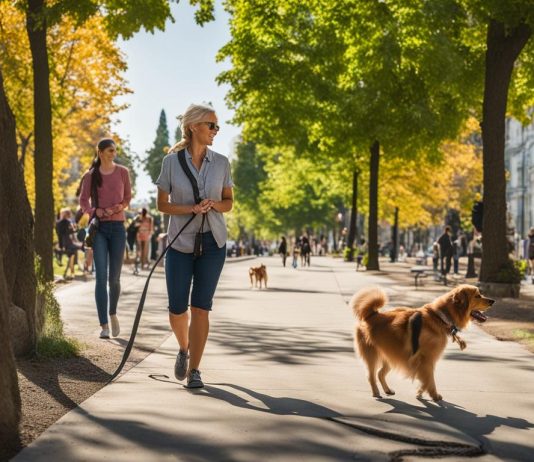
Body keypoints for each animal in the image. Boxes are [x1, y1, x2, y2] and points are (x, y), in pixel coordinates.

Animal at [354, 286, 496, 400]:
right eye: (477, 296)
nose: (492, 301)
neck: (440, 318)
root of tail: (371, 314)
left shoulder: (424, 362)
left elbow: (426, 379)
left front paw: (420, 392)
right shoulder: (427, 359)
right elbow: (429, 379)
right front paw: (434, 395)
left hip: (391, 355)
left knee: (380, 373)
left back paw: (387, 390)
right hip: (372, 355)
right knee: (371, 376)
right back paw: (376, 392)